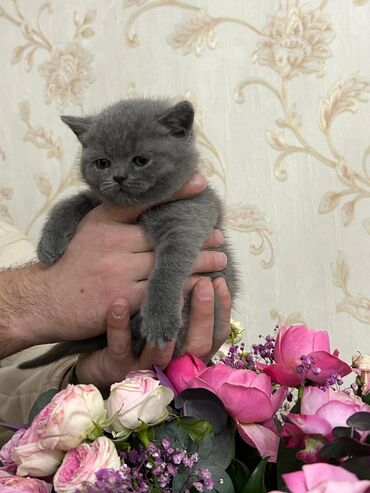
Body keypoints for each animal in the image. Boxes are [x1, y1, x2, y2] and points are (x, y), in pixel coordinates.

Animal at [20, 98, 238, 368]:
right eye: (103, 163)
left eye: (141, 160)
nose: (119, 176)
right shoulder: (98, 201)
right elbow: (69, 203)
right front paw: (48, 245)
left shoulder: (187, 220)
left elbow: (168, 267)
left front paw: (159, 318)